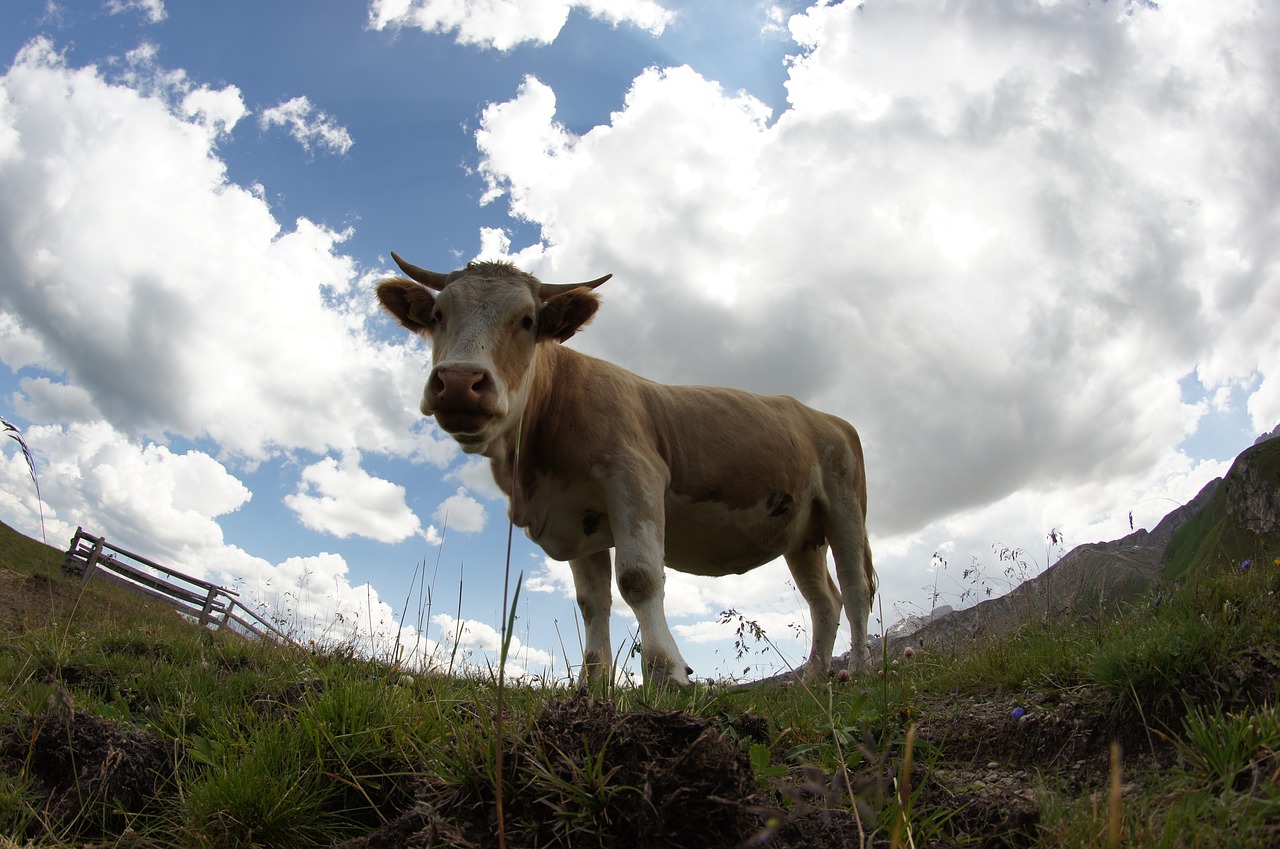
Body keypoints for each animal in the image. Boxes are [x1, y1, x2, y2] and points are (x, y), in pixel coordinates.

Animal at [373, 256, 875, 686]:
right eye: (438, 314)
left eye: (527, 320)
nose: (459, 381)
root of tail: (824, 416)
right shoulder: (577, 518)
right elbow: (592, 604)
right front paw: (592, 685)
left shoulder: (635, 475)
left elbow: (639, 578)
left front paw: (667, 672)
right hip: (803, 535)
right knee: (823, 601)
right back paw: (812, 680)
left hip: (846, 510)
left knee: (855, 590)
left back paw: (860, 672)